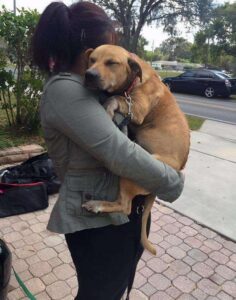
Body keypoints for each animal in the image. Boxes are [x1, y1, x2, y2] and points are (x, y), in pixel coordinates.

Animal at [83, 45, 190, 255]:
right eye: (92, 60)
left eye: (111, 62)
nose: (89, 74)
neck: (133, 83)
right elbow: (116, 96)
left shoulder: (137, 109)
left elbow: (115, 98)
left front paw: (108, 107)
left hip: (133, 170)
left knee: (125, 207)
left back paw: (97, 205)